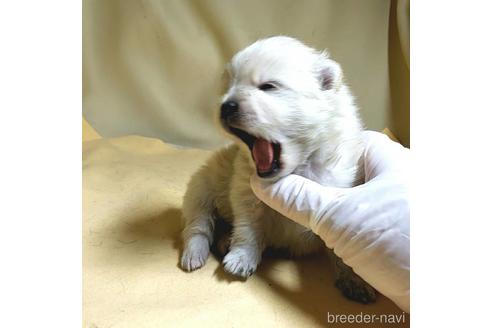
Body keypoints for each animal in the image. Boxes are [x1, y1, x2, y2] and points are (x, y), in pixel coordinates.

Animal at [181, 36, 376, 302]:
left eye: (268, 86)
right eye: (228, 86)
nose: (226, 106)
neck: (298, 167)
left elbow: (340, 246)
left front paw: (355, 280)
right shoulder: (244, 187)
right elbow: (248, 226)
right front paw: (241, 258)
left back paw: (222, 240)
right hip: (201, 186)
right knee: (198, 223)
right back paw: (196, 253)